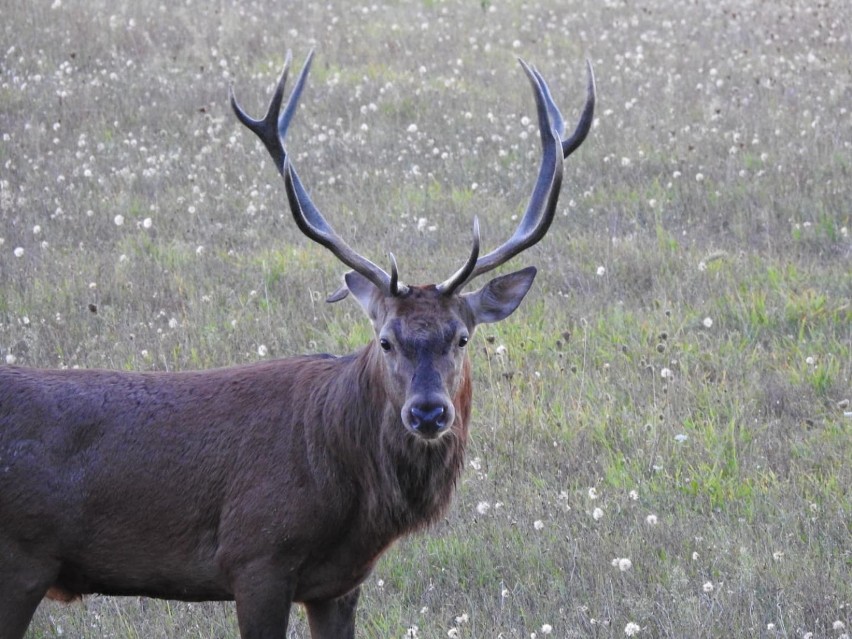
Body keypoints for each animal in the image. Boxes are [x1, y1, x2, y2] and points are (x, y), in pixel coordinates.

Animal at [0, 51, 592, 639]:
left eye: (463, 337)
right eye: (385, 341)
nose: (428, 412)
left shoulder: (339, 583)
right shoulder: (255, 555)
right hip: (21, 559)